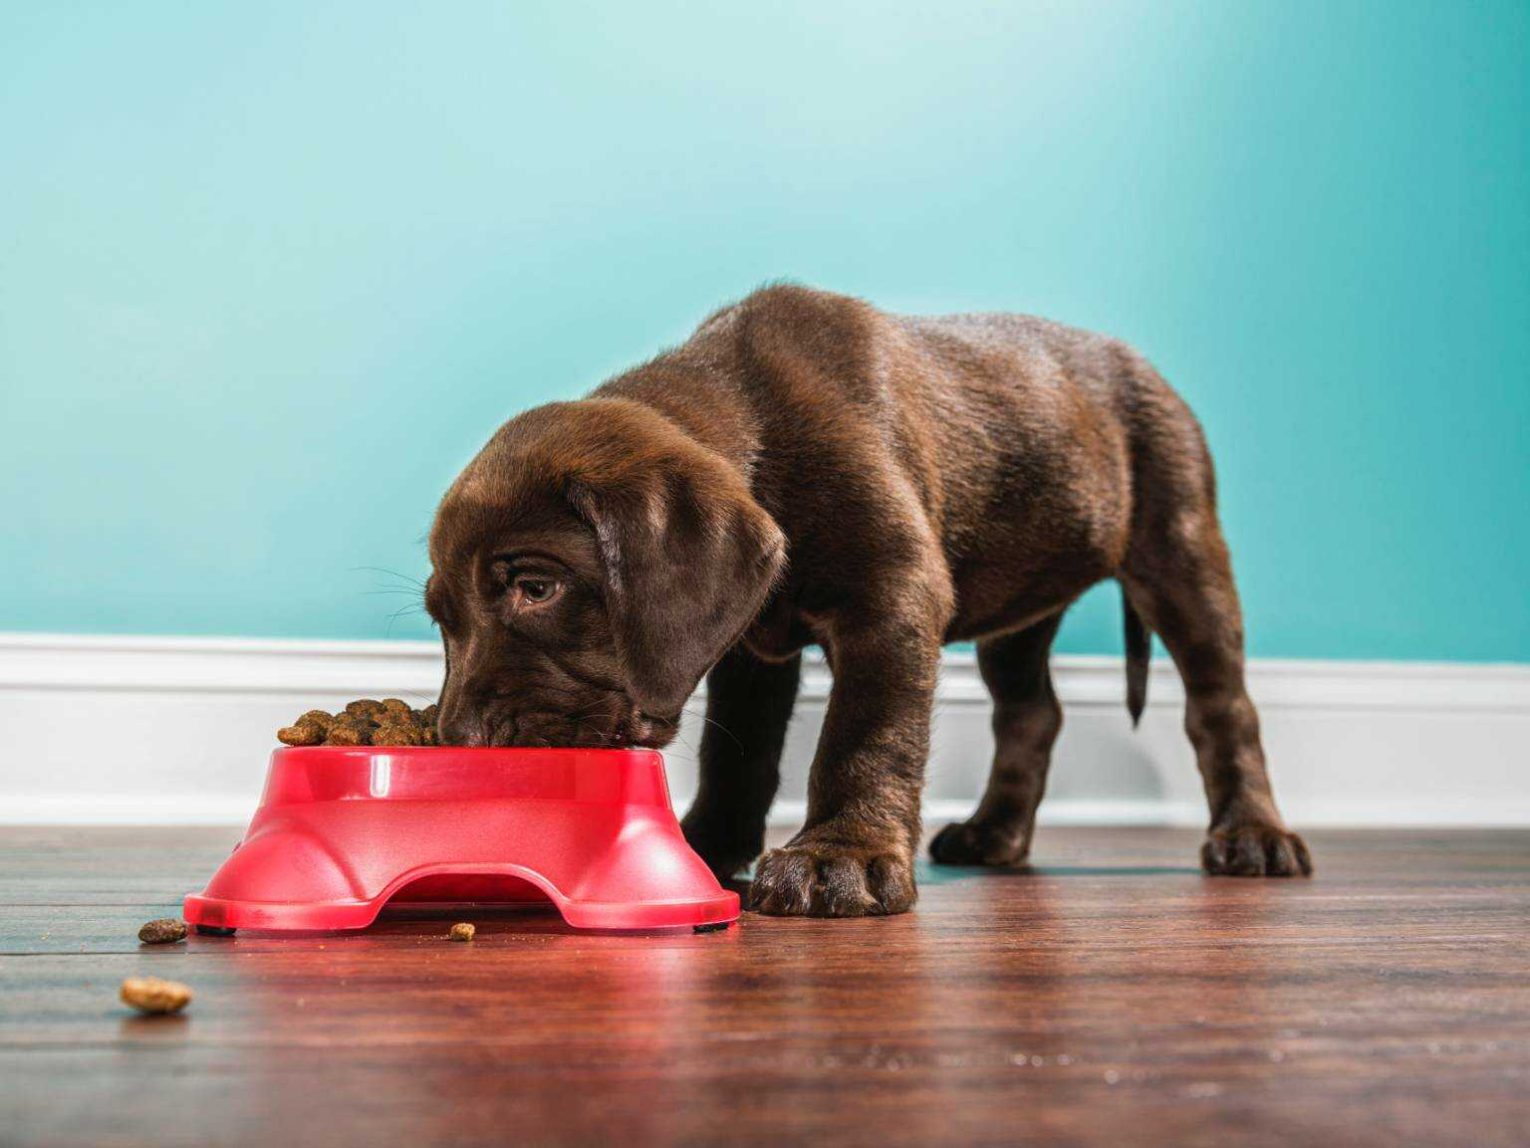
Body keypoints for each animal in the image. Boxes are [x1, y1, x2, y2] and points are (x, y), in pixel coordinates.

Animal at [425, 281, 1309, 918]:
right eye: (441, 618)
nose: (456, 739)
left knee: (1222, 706)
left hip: (1181, 546)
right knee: (1031, 712)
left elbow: (865, 732)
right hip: (1020, 610)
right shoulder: (749, 643)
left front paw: (839, 857)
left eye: (537, 587)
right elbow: (737, 756)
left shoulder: (892, 597)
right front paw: (708, 843)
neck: (757, 424)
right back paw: (995, 833)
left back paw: (1254, 836)